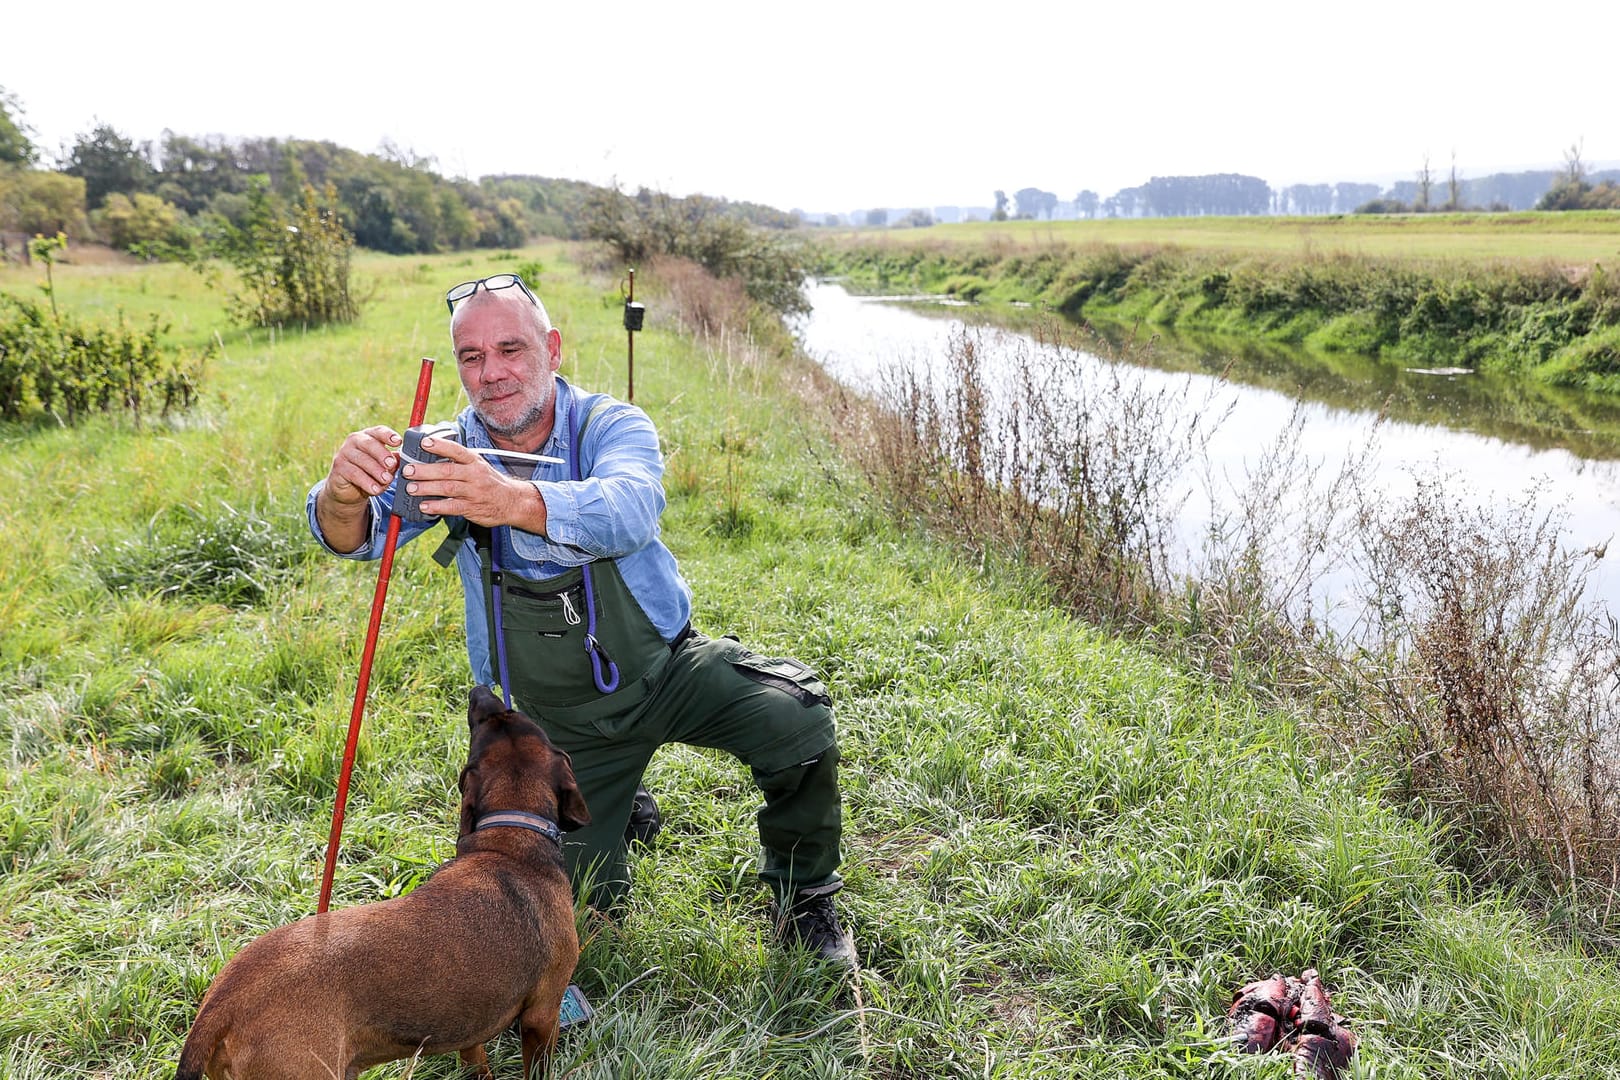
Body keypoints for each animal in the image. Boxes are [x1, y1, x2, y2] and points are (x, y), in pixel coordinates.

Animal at [175, 689, 589, 1075]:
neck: (508, 841)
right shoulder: (542, 1015)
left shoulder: (469, 1033)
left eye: (505, 716)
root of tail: (219, 1008)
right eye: (488, 720)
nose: (481, 692)